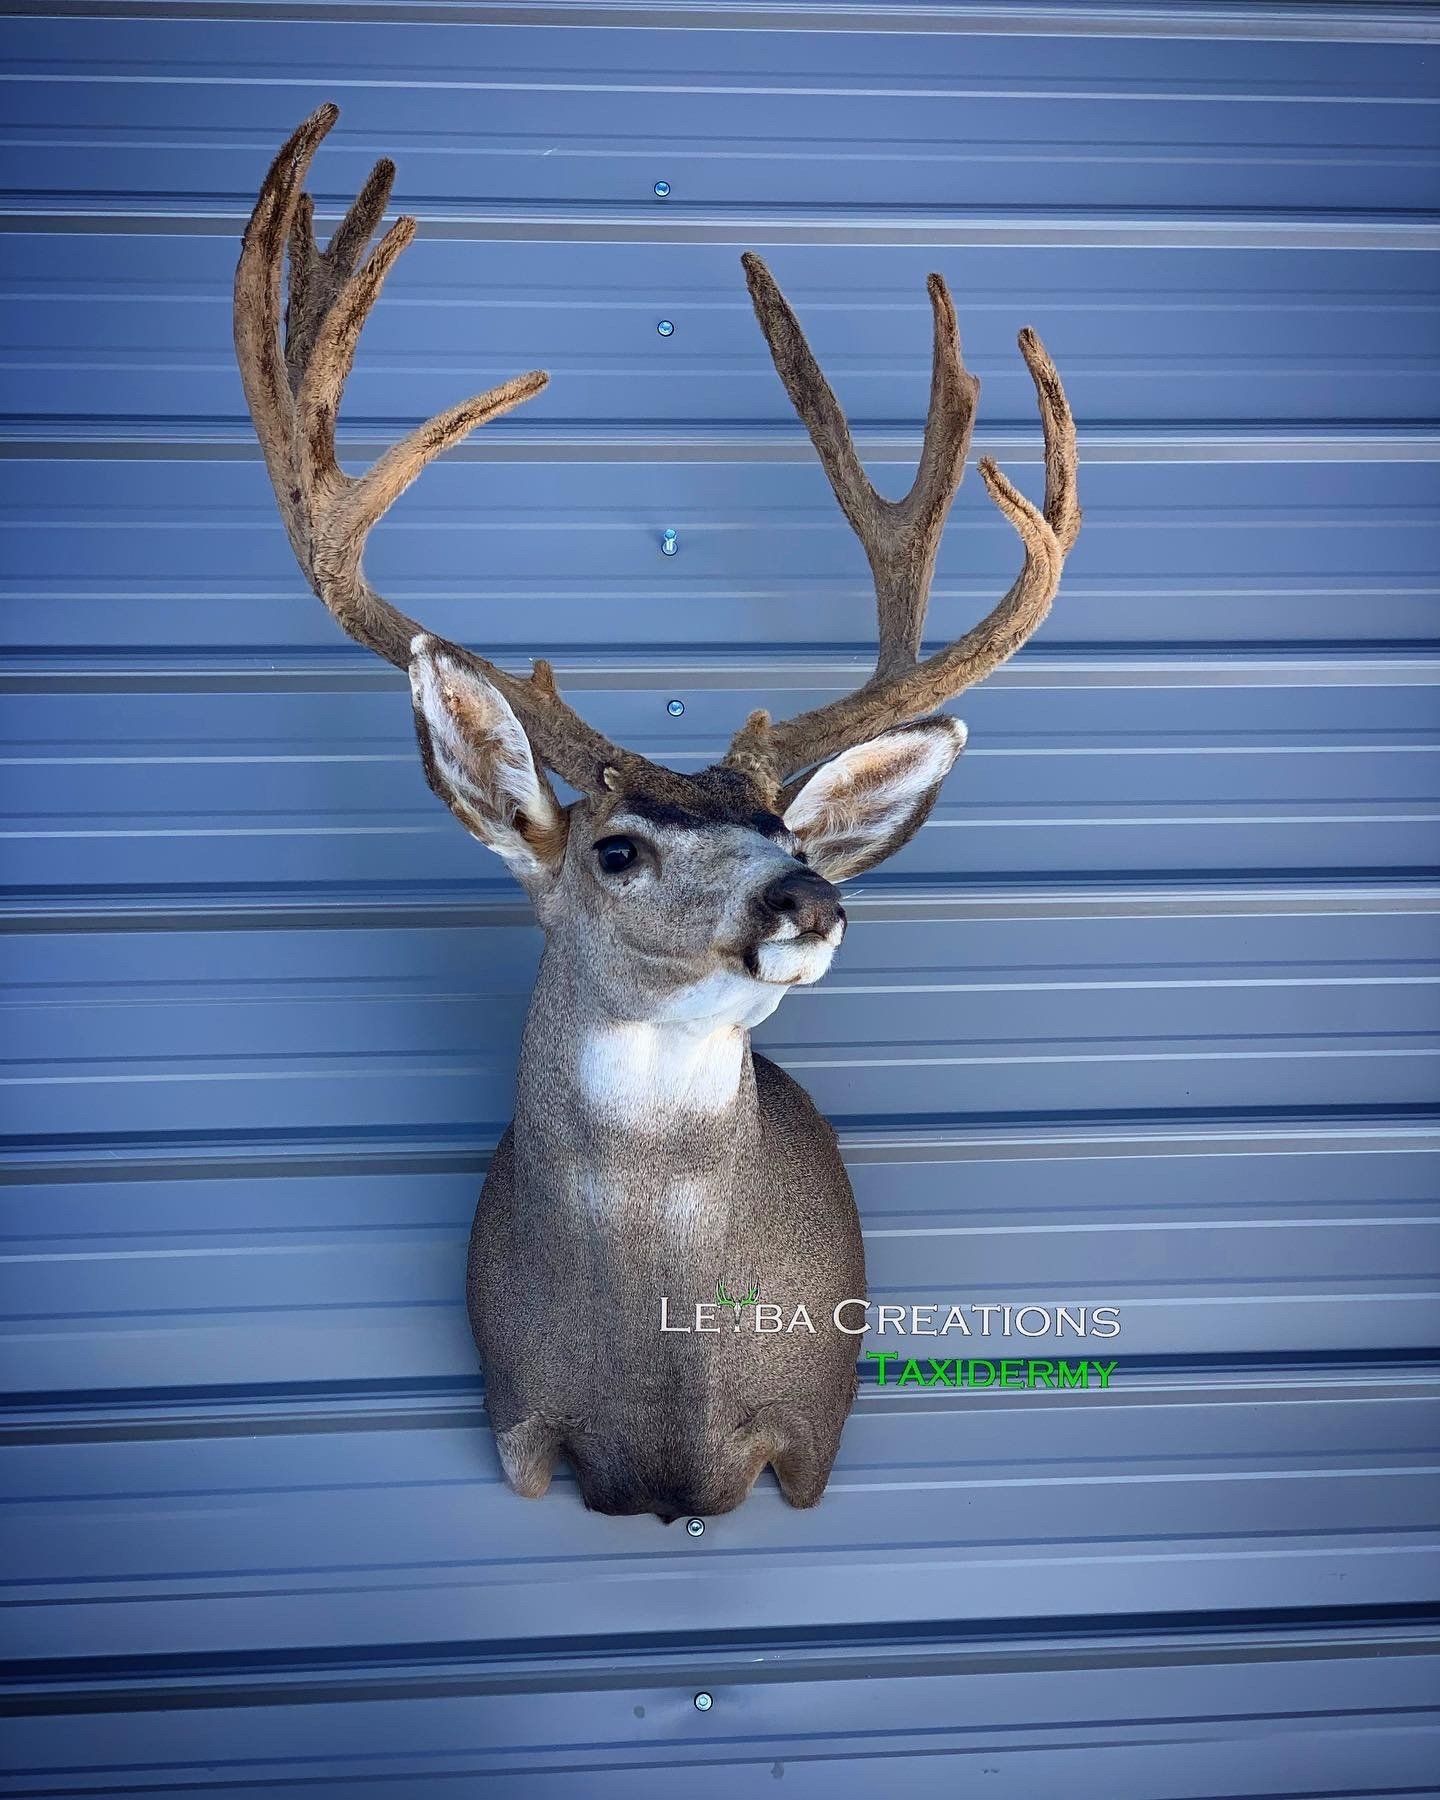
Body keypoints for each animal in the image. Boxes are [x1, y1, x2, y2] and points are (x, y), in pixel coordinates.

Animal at [235, 107, 1079, 1522]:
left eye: (790, 836)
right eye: (615, 849)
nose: (810, 898)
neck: (662, 1403)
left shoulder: (809, 1443)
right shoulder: (518, 1429)